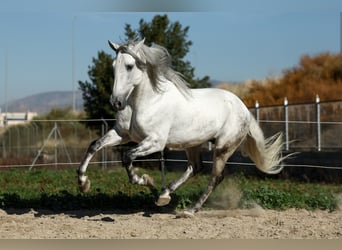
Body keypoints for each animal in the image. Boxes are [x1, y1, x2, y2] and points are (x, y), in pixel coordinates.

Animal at [77, 38, 286, 217]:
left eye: (129, 66)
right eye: (113, 66)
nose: (116, 102)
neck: (148, 101)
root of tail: (244, 108)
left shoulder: (155, 142)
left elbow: (127, 156)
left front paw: (145, 180)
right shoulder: (122, 135)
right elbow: (94, 145)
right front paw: (83, 183)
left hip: (223, 148)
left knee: (215, 177)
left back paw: (190, 210)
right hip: (193, 143)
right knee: (196, 167)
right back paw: (164, 196)